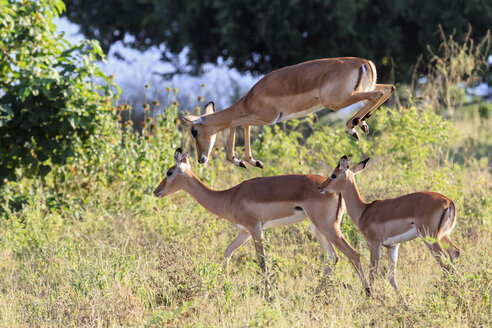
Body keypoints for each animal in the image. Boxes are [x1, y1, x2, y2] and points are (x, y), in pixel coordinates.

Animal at [155, 149, 372, 294]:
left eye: (169, 172)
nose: (156, 191)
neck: (230, 197)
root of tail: (333, 189)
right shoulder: (243, 231)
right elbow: (227, 252)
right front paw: (221, 287)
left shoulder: (255, 228)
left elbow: (262, 261)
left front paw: (267, 294)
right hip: (318, 228)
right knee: (332, 257)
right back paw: (314, 293)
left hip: (328, 227)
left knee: (353, 254)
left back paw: (368, 293)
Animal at [183, 56, 394, 168]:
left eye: (194, 131)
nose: (201, 159)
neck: (249, 99)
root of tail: (363, 62)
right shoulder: (258, 118)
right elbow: (243, 124)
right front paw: (253, 161)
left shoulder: (268, 118)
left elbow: (235, 122)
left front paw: (240, 161)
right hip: (358, 92)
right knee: (388, 88)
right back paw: (362, 123)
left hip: (337, 101)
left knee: (379, 93)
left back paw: (353, 127)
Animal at [318, 157, 460, 292]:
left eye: (333, 175)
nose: (320, 187)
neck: (364, 211)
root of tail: (449, 202)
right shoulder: (392, 246)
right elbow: (391, 278)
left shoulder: (374, 243)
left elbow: (373, 273)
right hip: (443, 236)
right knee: (455, 253)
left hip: (430, 238)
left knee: (447, 264)